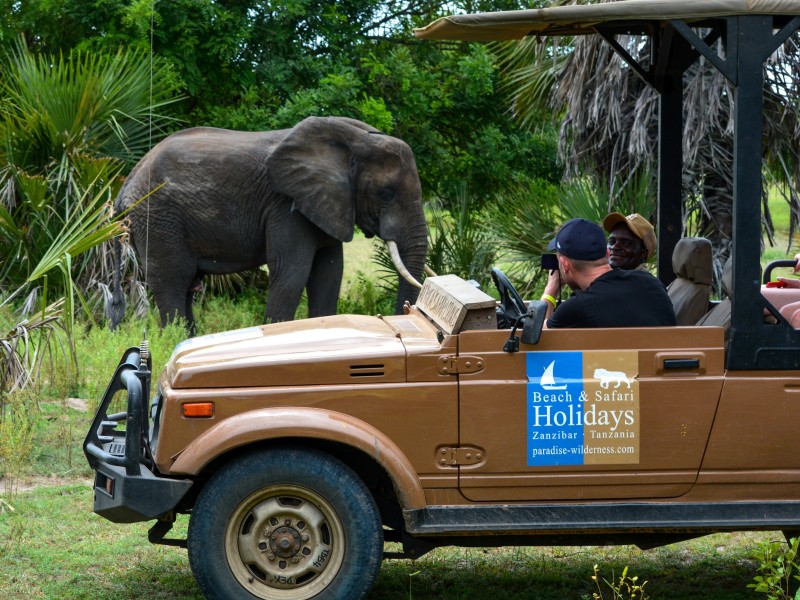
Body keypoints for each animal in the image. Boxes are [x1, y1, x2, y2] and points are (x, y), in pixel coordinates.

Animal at [108, 116, 428, 332]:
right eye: (386, 193)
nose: (405, 314)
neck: (355, 141)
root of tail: (126, 185)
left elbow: (329, 272)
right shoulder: (286, 206)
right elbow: (292, 271)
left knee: (186, 284)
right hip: (158, 218)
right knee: (172, 279)